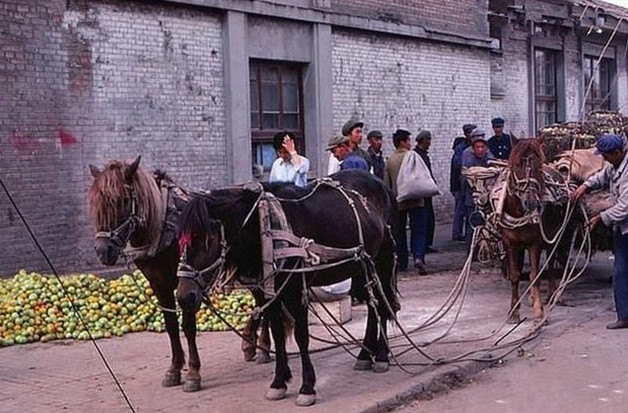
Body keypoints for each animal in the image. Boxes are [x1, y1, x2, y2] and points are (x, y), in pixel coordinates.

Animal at [175, 170, 398, 406]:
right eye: (179, 240)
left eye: (206, 239)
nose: (184, 296)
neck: (264, 228)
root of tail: (381, 184)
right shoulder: (270, 293)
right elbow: (278, 333)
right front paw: (278, 382)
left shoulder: (296, 291)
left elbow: (301, 336)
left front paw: (307, 387)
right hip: (361, 268)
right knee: (372, 305)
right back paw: (365, 355)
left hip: (382, 264)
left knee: (382, 306)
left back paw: (381, 356)